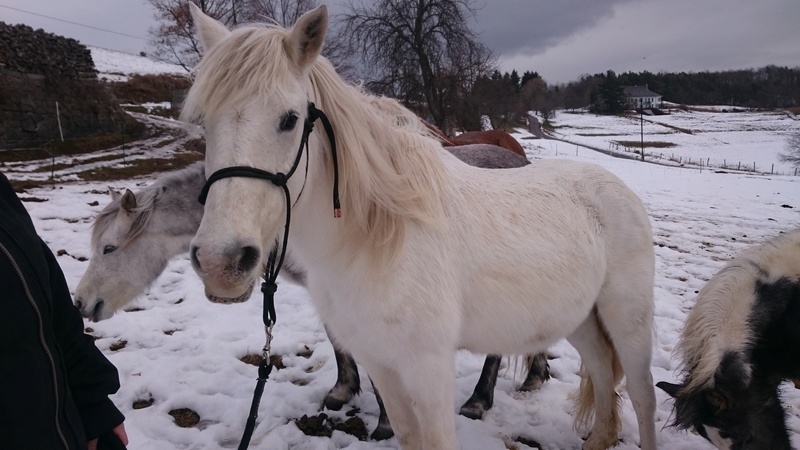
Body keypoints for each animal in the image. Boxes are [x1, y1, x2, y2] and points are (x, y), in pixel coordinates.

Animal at [186, 4, 656, 450]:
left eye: (289, 119)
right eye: (205, 121)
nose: (220, 262)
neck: (376, 239)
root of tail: (614, 185)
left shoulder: (427, 367)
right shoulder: (380, 361)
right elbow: (405, 433)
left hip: (627, 318)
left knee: (641, 394)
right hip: (578, 316)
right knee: (601, 370)